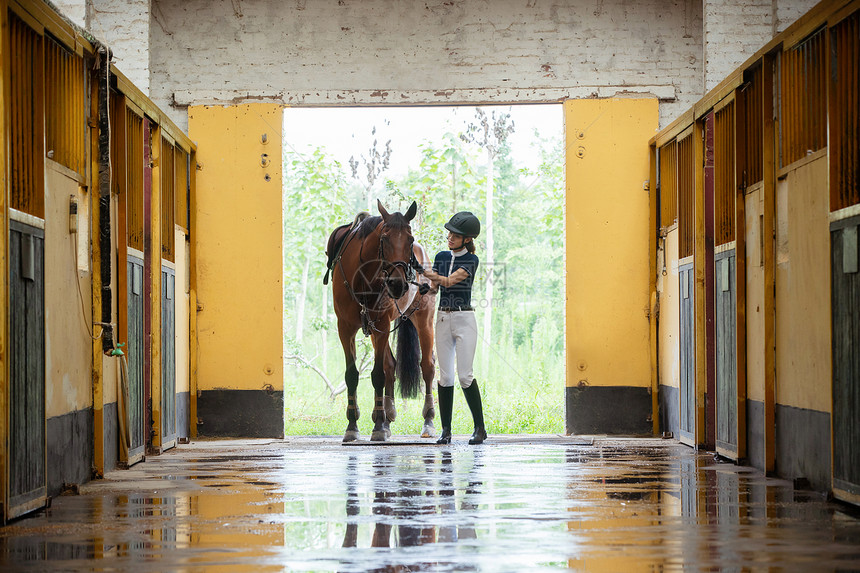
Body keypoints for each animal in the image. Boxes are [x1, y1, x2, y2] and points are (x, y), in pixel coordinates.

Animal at [328, 199, 440, 440]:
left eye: (410, 239)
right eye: (384, 238)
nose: (398, 284)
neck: (361, 278)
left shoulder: (381, 324)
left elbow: (378, 374)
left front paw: (378, 426)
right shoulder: (346, 327)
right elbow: (352, 374)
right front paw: (353, 425)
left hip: (424, 319)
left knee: (427, 366)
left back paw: (428, 420)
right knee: (391, 365)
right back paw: (388, 416)